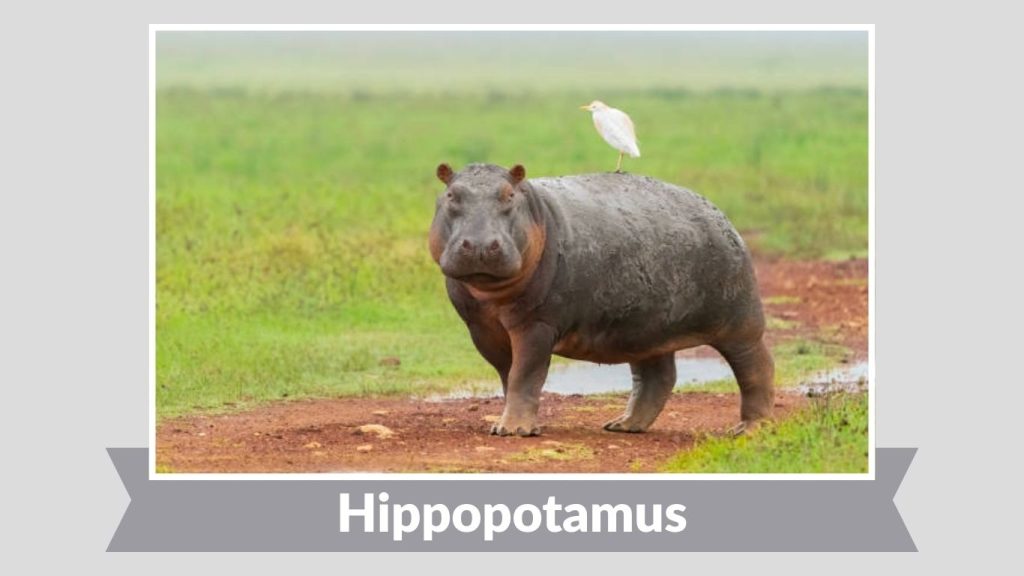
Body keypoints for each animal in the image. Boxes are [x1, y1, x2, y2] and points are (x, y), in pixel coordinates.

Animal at [428, 163, 774, 437]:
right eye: (451, 195)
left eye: (509, 196)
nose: (480, 244)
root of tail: (718, 213)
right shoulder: (482, 329)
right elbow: (508, 375)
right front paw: (516, 425)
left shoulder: (538, 324)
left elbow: (525, 374)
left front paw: (512, 430)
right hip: (644, 329)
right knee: (657, 377)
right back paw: (623, 425)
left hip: (739, 322)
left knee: (756, 367)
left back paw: (749, 429)